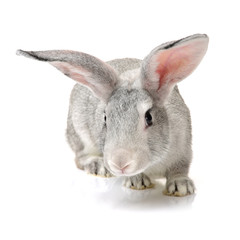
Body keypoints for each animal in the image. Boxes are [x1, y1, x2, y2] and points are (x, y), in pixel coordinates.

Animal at [16, 33, 208, 196]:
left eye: (149, 117)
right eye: (105, 118)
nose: (120, 163)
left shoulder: (184, 151)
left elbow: (179, 170)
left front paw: (181, 186)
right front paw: (137, 181)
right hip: (79, 132)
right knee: (80, 157)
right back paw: (98, 165)